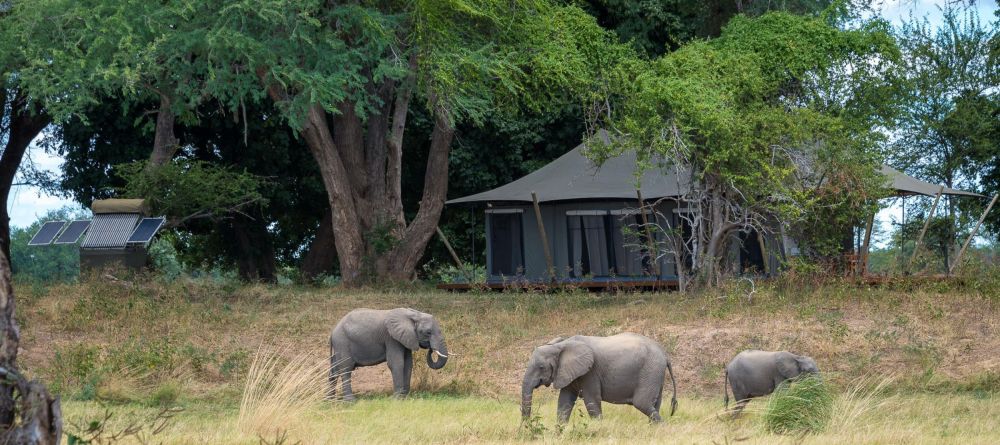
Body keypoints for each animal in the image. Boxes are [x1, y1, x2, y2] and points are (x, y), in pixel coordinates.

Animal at [520, 332, 676, 424]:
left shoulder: (591, 372)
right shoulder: (567, 371)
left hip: (650, 370)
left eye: (541, 367)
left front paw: (599, 429)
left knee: (641, 402)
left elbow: (591, 400)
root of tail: (665, 354)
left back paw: (663, 427)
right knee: (654, 403)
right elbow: (564, 401)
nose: (527, 426)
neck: (561, 345)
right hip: (655, 373)